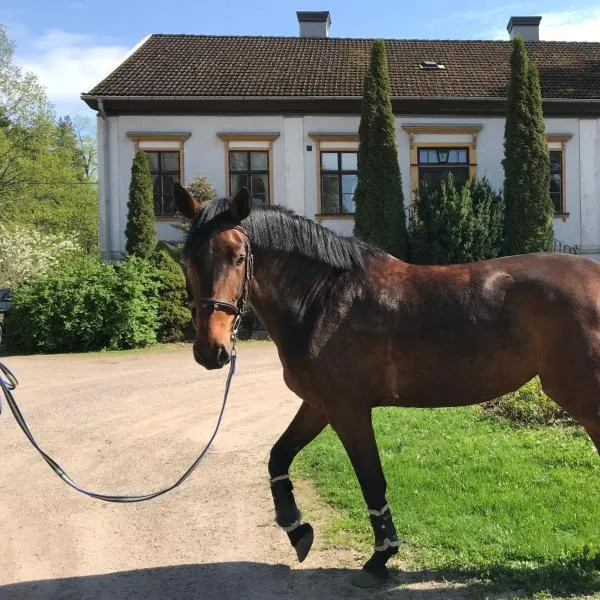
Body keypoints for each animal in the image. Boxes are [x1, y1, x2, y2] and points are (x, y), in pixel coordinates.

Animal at [171, 183, 600, 584]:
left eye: (238, 257)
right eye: (188, 258)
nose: (211, 350)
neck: (323, 299)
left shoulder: (349, 411)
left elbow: (371, 480)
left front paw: (381, 555)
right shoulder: (320, 405)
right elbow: (278, 456)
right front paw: (297, 529)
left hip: (584, 400)